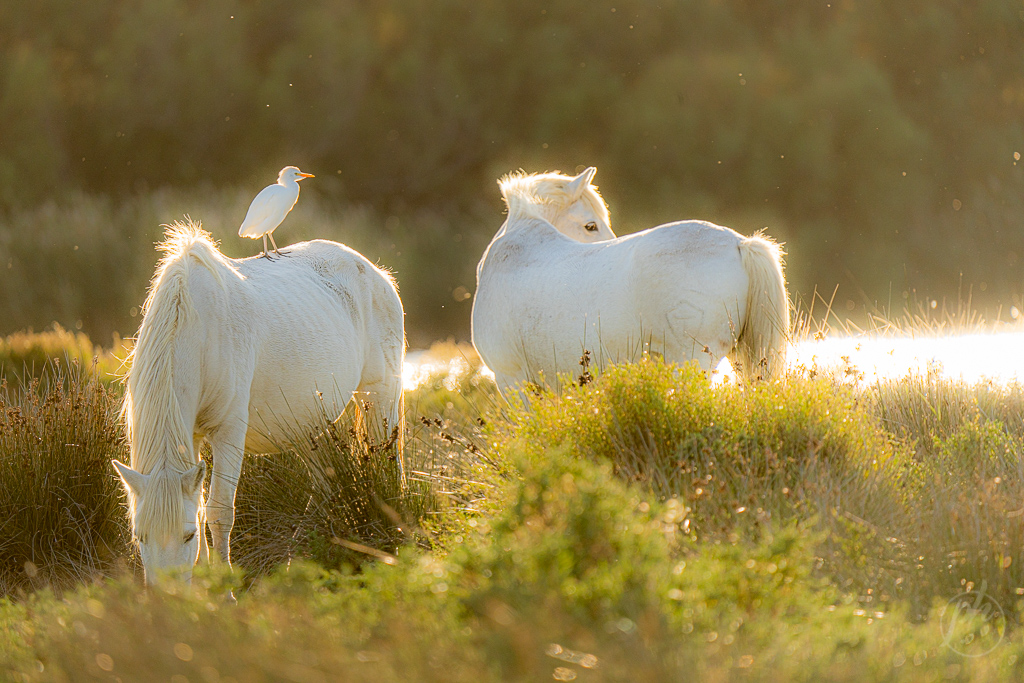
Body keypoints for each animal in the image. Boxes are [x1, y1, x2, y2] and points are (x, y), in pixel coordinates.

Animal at [112, 220, 405, 584]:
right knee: (325, 483)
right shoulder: (191, 435)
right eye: (139, 536)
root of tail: (376, 273)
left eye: (187, 536)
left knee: (389, 464)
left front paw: (223, 589)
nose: (169, 596)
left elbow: (218, 512)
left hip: (380, 397)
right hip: (310, 424)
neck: (194, 326)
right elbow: (201, 505)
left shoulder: (228, 433)